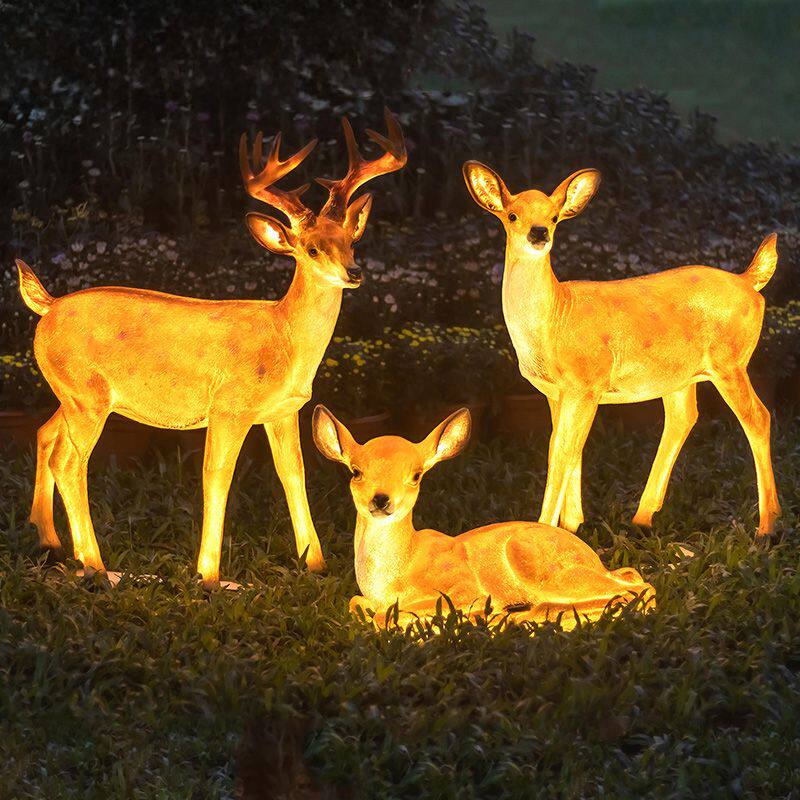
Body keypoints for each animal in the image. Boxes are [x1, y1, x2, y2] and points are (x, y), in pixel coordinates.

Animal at [15, 109, 406, 589]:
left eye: (352, 242)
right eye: (313, 248)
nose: (354, 272)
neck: (285, 338)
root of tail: (47, 305)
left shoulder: (282, 411)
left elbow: (293, 475)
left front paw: (315, 564)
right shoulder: (228, 406)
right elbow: (217, 477)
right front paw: (209, 574)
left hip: (72, 394)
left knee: (44, 434)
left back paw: (49, 542)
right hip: (87, 397)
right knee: (70, 463)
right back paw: (95, 564)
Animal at [312, 404, 654, 629]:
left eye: (416, 475)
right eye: (355, 471)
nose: (381, 500)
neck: (397, 571)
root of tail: (590, 555)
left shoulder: (463, 586)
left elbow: (390, 615)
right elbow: (357, 604)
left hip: (539, 565)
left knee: (639, 589)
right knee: (631, 578)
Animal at [462, 161, 780, 538]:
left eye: (554, 217)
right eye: (512, 215)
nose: (538, 233)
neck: (555, 317)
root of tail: (750, 283)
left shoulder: (585, 383)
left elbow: (562, 450)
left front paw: (546, 530)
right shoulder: (557, 392)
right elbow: (567, 447)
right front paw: (572, 525)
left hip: (729, 362)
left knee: (758, 417)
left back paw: (766, 526)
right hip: (678, 374)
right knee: (683, 418)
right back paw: (642, 517)